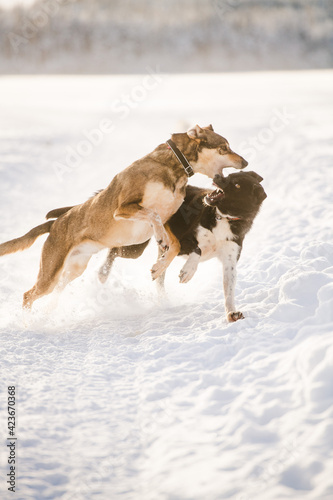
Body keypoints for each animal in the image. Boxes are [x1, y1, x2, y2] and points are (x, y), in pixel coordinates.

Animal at [0, 125, 244, 308]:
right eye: (224, 147)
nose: (245, 162)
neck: (173, 167)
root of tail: (53, 224)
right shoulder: (124, 209)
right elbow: (152, 215)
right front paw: (160, 247)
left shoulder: (167, 220)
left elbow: (173, 245)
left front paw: (159, 266)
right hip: (51, 272)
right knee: (28, 295)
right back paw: (28, 321)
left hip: (74, 269)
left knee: (57, 290)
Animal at [97, 170, 266, 322]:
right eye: (230, 175)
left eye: (237, 185)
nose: (217, 176)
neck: (223, 218)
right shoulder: (185, 240)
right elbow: (197, 250)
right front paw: (187, 272)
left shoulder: (230, 260)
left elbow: (229, 290)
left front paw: (232, 313)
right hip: (136, 246)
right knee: (114, 250)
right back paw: (103, 274)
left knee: (158, 277)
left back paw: (162, 294)